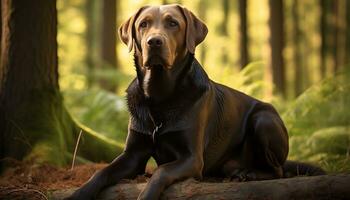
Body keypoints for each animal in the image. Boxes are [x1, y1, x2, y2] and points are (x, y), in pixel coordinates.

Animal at [68, 3, 326, 200]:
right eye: (143, 24)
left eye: (173, 23)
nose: (154, 42)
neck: (160, 95)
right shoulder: (133, 155)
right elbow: (100, 173)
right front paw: (78, 193)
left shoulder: (192, 158)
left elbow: (162, 172)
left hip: (264, 119)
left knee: (279, 170)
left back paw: (249, 173)